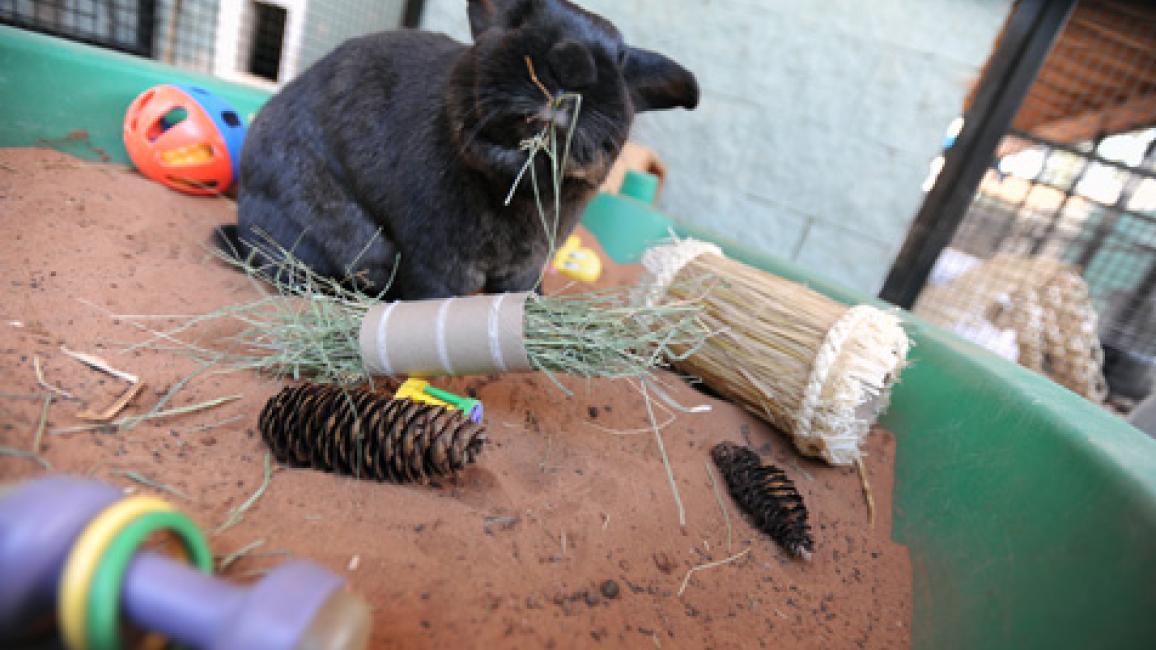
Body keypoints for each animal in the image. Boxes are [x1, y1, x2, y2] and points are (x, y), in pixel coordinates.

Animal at [219, 0, 698, 298]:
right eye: (517, 23)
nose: (571, 63)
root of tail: (245, 225)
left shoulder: (527, 266)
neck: (514, 190)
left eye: (619, 60)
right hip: (348, 239)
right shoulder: (437, 261)